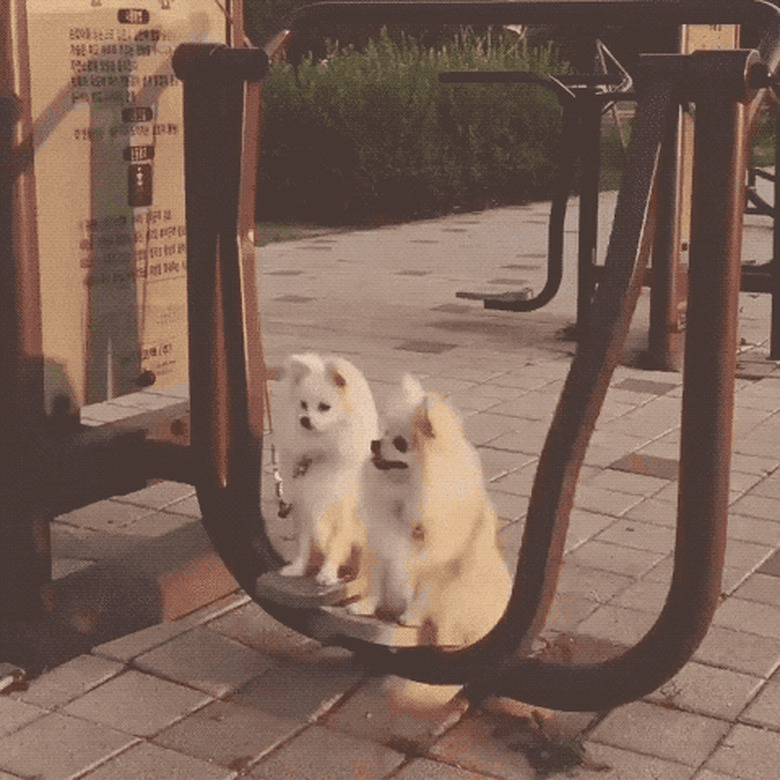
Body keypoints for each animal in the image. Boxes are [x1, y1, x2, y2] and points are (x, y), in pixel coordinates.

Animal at [276, 354, 380, 584]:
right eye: (303, 404)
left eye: (324, 407)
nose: (304, 419)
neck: (321, 451)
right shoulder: (303, 506)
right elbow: (303, 543)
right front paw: (298, 568)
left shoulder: (343, 511)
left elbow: (336, 544)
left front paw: (327, 573)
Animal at [352, 372, 512, 644]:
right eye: (384, 433)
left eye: (400, 443)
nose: (374, 443)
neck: (407, 493)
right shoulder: (383, 548)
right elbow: (376, 581)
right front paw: (365, 606)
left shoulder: (436, 563)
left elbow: (423, 593)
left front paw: (411, 618)